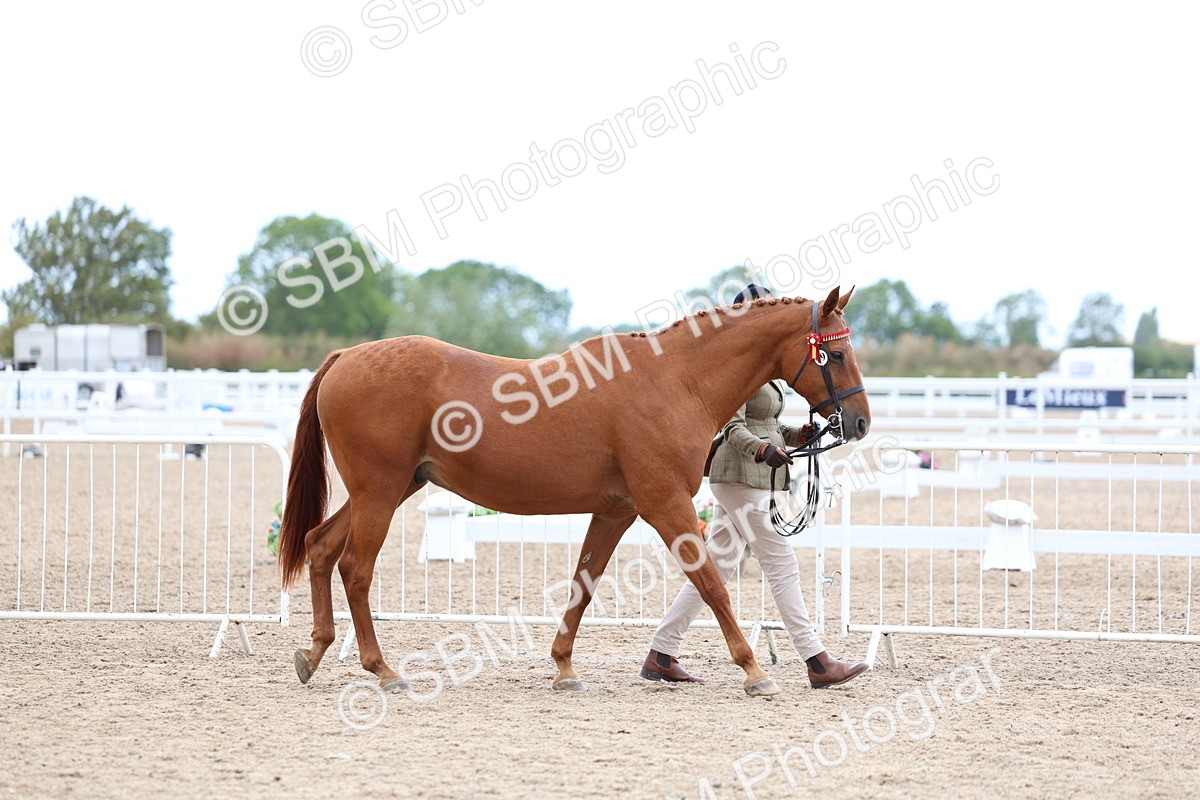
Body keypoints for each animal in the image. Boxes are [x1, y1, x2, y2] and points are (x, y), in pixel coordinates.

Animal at [277, 285, 871, 696]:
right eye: (837, 354)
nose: (860, 422)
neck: (675, 381)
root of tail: (346, 356)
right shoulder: (665, 505)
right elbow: (711, 585)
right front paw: (752, 671)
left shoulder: (617, 512)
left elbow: (584, 584)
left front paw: (564, 667)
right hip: (379, 492)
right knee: (355, 568)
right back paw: (383, 669)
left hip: (392, 488)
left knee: (320, 546)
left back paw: (314, 652)